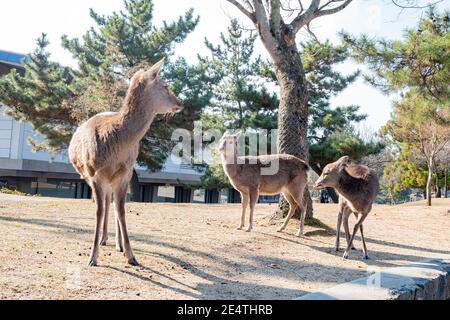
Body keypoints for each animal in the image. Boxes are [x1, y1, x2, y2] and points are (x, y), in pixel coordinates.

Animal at [68, 58, 181, 266]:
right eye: (165, 86)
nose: (180, 103)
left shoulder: (126, 173)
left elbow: (121, 211)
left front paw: (130, 254)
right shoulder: (95, 174)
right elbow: (99, 211)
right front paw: (92, 257)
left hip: (119, 177)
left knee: (112, 204)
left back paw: (117, 244)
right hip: (92, 176)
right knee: (105, 203)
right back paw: (103, 239)